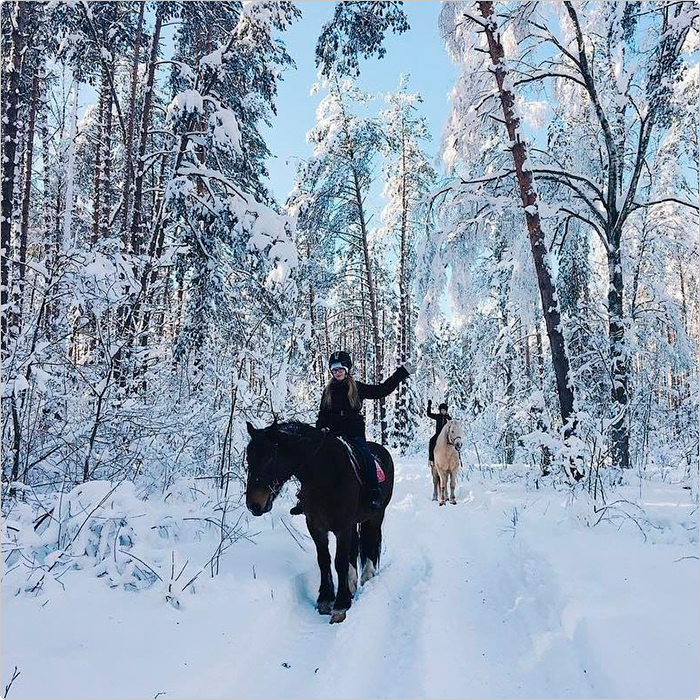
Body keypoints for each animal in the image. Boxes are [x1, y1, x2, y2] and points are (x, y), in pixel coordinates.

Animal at [245, 422, 394, 624]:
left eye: (269, 458)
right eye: (248, 459)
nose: (253, 505)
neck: (325, 475)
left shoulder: (343, 527)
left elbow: (339, 561)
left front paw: (340, 605)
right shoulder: (316, 526)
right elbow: (324, 560)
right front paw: (325, 599)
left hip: (376, 516)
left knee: (371, 542)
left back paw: (367, 577)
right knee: (354, 548)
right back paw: (352, 583)